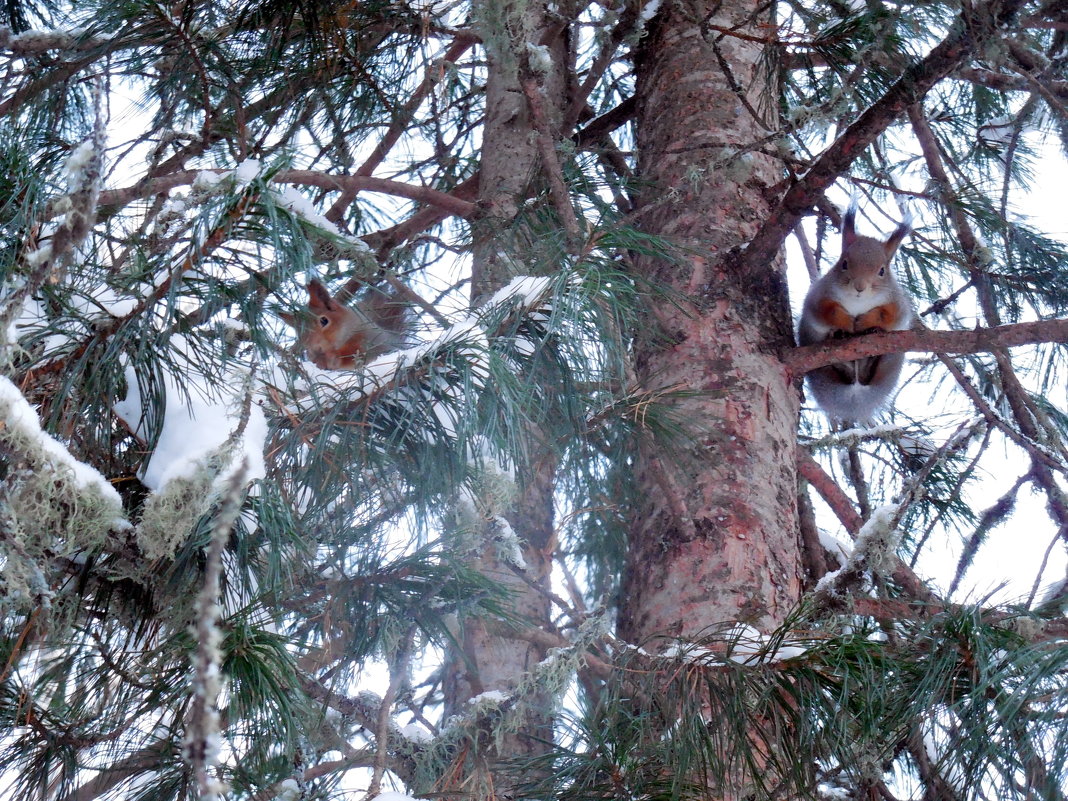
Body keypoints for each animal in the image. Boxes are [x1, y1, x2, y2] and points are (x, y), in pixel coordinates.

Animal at [279, 279, 407, 371]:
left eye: (324, 321)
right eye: (300, 336)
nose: (316, 349)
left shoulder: (373, 340)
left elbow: (360, 355)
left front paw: (333, 357)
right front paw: (318, 360)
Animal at [798, 203, 914, 422]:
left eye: (882, 270)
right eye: (844, 263)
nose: (860, 287)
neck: (858, 302)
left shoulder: (897, 304)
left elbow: (888, 316)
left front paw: (866, 322)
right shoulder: (818, 299)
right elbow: (828, 313)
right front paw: (846, 324)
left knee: (868, 375)